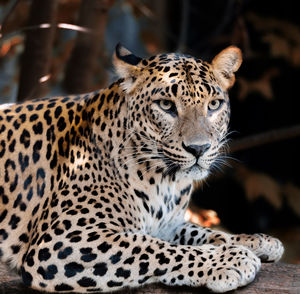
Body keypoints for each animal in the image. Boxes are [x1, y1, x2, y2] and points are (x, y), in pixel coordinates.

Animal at [0, 43, 284, 292]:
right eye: (166, 105)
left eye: (214, 104)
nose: (199, 149)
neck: (166, 182)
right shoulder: (63, 240)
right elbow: (152, 248)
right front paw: (230, 260)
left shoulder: (167, 224)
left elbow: (197, 232)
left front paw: (253, 240)